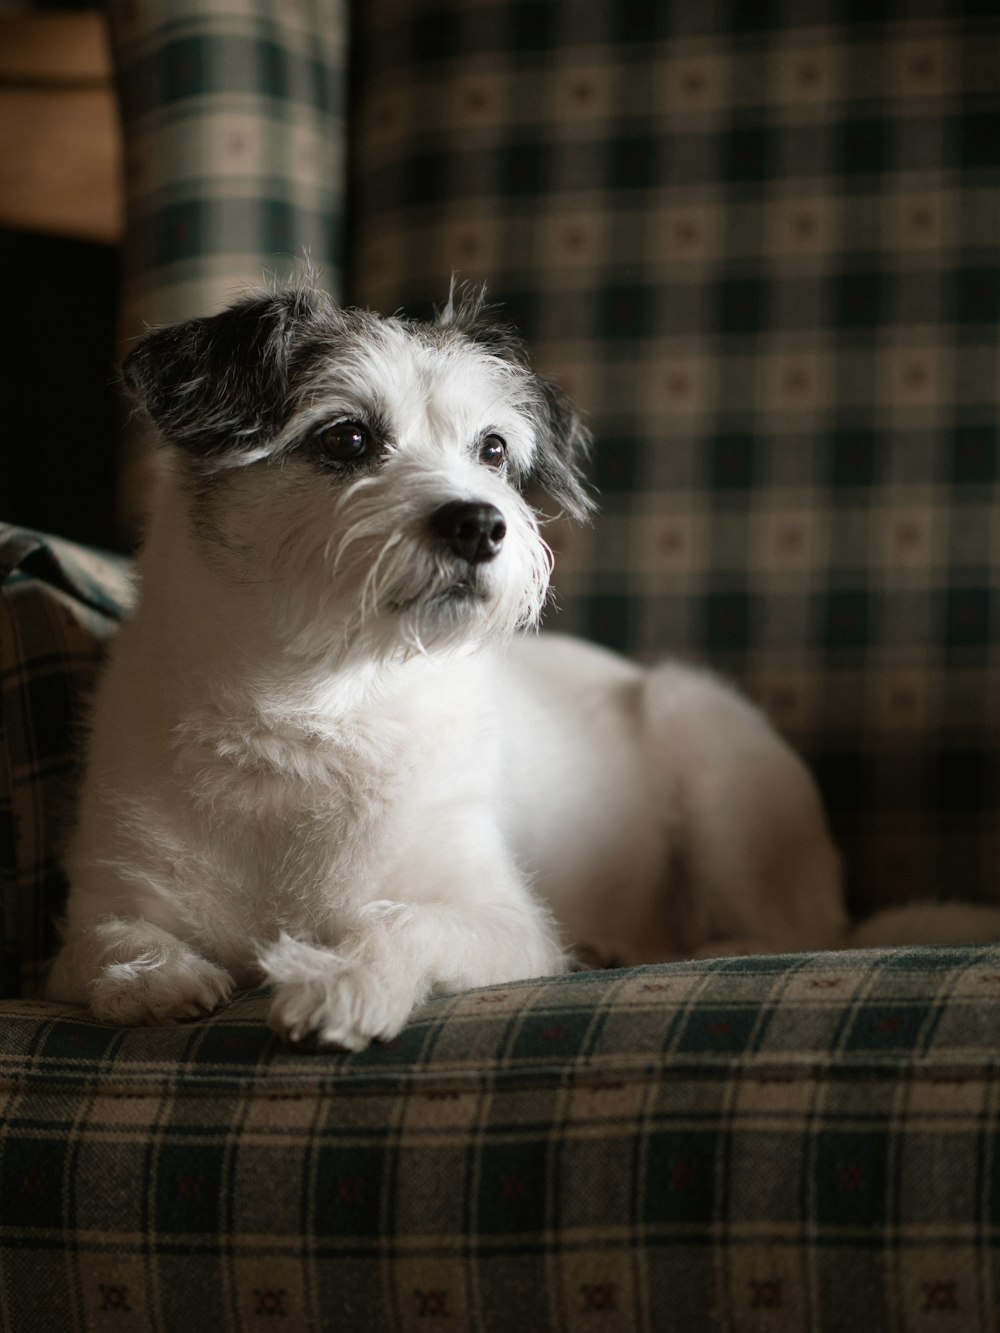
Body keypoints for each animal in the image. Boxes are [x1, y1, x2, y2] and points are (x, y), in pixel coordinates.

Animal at [41, 283, 1000, 1050]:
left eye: (493, 450)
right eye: (346, 438)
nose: (481, 522)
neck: (313, 706)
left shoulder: (504, 923)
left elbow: (405, 920)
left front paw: (343, 978)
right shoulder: (97, 908)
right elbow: (111, 943)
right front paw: (157, 978)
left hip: (712, 752)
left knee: (782, 933)